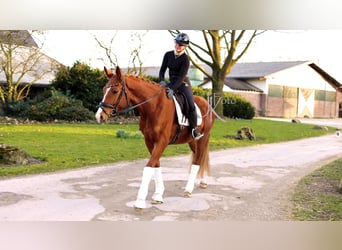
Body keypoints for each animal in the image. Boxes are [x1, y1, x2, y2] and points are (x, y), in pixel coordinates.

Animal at [95, 66, 215, 209]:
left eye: (114, 91)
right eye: (103, 90)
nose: (99, 116)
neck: (153, 107)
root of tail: (206, 103)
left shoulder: (162, 141)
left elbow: (148, 167)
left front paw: (140, 201)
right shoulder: (149, 141)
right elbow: (156, 165)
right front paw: (158, 195)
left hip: (203, 137)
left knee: (198, 159)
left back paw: (189, 189)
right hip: (192, 140)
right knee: (199, 157)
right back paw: (202, 181)